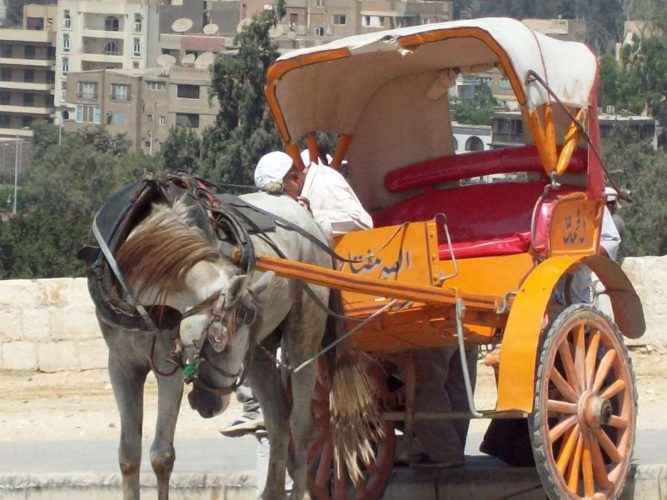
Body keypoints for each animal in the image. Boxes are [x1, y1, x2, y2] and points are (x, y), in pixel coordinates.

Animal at [83, 176, 377, 500]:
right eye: (216, 338)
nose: (209, 404)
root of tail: (309, 221)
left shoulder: (168, 365)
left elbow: (162, 455)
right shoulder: (121, 365)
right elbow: (128, 455)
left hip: (304, 334)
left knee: (301, 424)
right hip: (259, 352)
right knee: (277, 416)